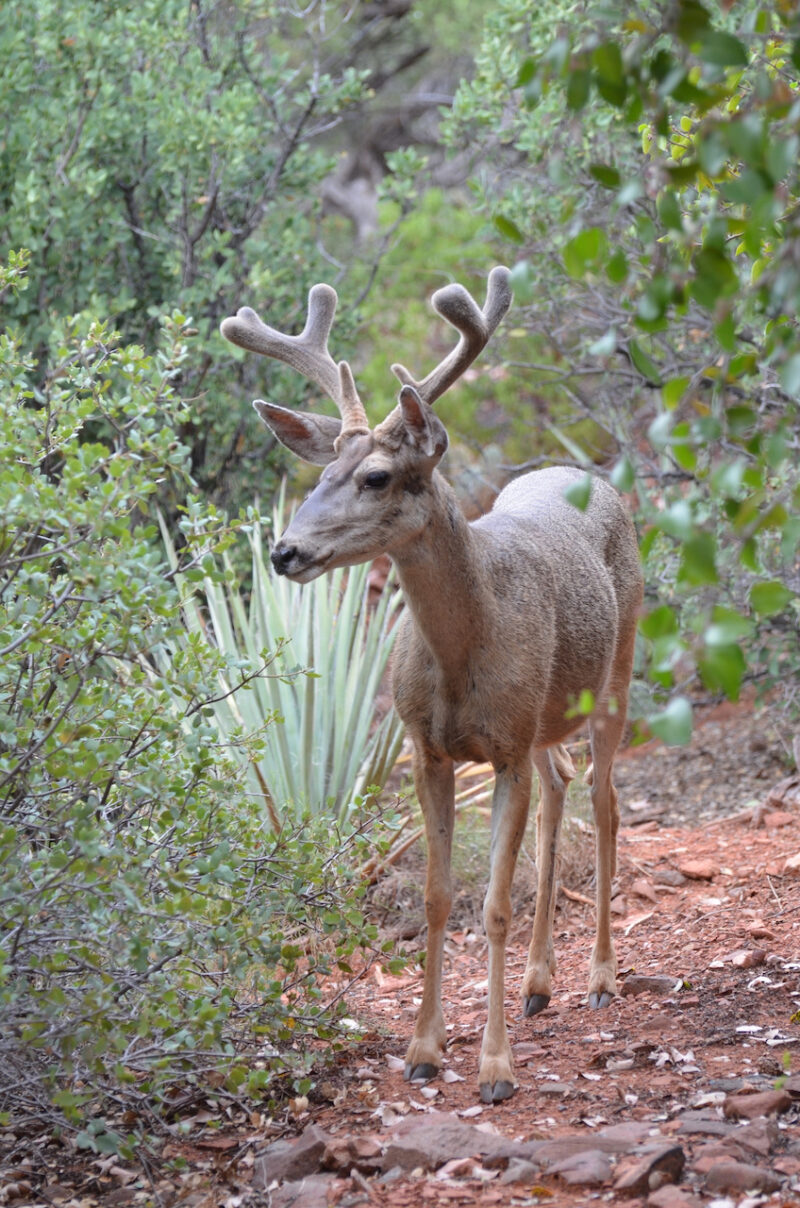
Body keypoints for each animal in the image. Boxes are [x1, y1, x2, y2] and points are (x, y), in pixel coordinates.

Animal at [221, 266, 647, 1106]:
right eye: (321, 473)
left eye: (378, 475)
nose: (284, 551)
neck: (462, 656)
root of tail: (584, 474)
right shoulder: (429, 749)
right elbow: (437, 896)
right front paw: (423, 1048)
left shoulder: (503, 750)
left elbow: (494, 903)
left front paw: (495, 1068)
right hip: (543, 716)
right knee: (561, 781)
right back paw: (539, 984)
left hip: (617, 667)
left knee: (606, 800)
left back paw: (600, 976)